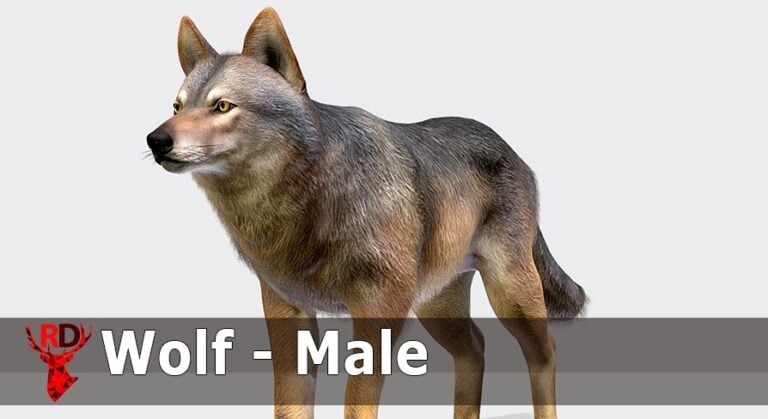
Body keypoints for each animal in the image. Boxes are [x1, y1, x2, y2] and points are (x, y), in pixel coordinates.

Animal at [147, 7, 586, 419]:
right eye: (177, 106)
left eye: (222, 106)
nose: (156, 140)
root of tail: (514, 152)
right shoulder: (287, 310)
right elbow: (290, 403)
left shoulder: (379, 310)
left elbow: (357, 402)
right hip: (436, 306)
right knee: (475, 348)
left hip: (510, 297)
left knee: (545, 351)